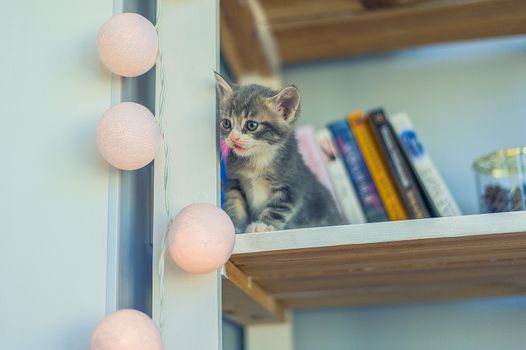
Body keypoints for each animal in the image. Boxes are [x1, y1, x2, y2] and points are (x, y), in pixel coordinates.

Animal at [216, 73, 346, 234]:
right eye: (226, 124)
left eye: (251, 125)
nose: (233, 138)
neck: (258, 158)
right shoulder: (234, 181)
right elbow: (234, 201)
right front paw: (235, 225)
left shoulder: (292, 184)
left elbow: (277, 208)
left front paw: (261, 225)